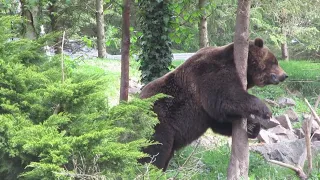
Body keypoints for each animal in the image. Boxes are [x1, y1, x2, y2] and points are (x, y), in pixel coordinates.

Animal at [139, 37, 288, 170]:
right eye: (274, 61)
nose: (285, 75)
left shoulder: (206, 111)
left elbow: (219, 120)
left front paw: (252, 126)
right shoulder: (211, 71)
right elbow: (226, 98)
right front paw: (265, 110)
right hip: (159, 122)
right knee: (155, 150)